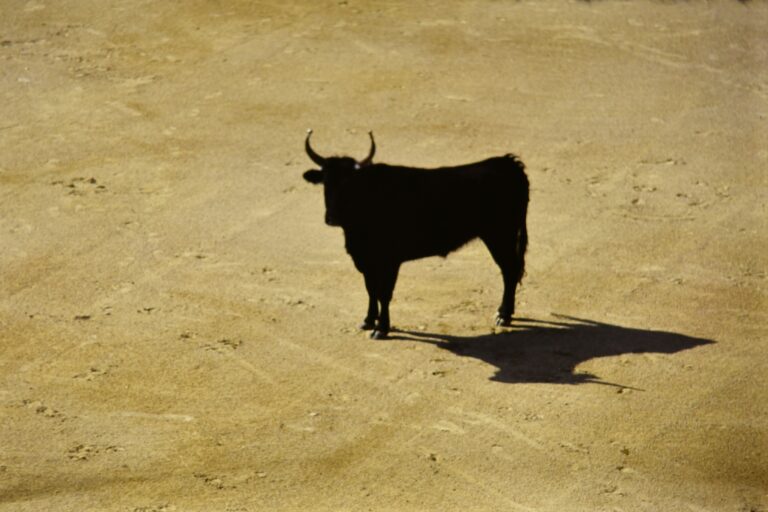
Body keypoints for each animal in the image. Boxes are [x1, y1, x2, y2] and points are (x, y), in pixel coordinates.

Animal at [303, 129, 529, 339]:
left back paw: (503, 315)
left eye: (351, 184)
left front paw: (381, 328)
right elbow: (371, 289)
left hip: (500, 235)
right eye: (325, 182)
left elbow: (384, 293)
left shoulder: (389, 261)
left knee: (509, 270)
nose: (332, 217)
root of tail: (507, 163)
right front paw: (368, 320)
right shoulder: (366, 260)